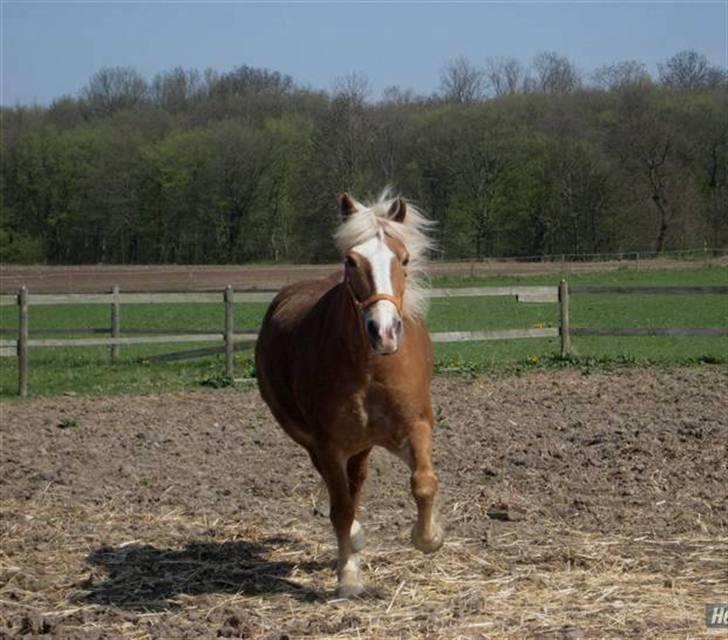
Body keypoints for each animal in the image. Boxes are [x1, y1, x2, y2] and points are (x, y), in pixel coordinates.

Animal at [256, 188, 444, 596]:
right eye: (351, 261)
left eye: (404, 258)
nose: (384, 331)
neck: (371, 367)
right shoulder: (328, 443)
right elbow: (341, 509)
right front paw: (349, 577)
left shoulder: (416, 425)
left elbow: (423, 482)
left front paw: (429, 538)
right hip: (318, 442)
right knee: (342, 493)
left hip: (364, 445)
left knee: (356, 483)